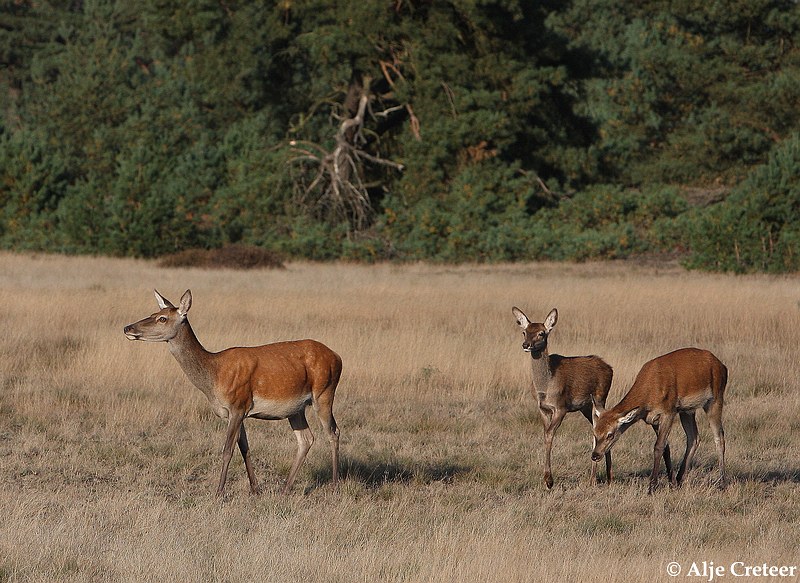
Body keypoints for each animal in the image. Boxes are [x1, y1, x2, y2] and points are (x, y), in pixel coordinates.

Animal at [123, 288, 342, 498]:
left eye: (162, 318)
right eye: (153, 313)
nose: (128, 328)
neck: (214, 377)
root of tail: (338, 357)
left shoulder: (238, 404)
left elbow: (227, 450)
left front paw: (218, 493)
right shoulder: (236, 412)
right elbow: (244, 448)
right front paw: (255, 489)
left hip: (324, 392)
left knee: (333, 432)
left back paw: (334, 486)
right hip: (295, 409)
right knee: (306, 439)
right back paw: (285, 489)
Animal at [512, 308, 612, 490]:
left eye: (541, 333)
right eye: (524, 332)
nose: (526, 345)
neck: (544, 387)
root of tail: (610, 368)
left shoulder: (561, 406)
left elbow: (550, 434)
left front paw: (549, 480)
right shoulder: (543, 408)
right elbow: (545, 434)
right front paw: (546, 481)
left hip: (600, 397)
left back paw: (595, 479)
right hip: (586, 406)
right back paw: (607, 477)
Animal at [592, 350, 728, 496]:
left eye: (610, 434)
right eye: (595, 432)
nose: (595, 455)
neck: (648, 397)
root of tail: (723, 367)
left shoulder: (669, 412)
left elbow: (658, 446)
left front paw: (651, 488)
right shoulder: (653, 420)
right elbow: (666, 448)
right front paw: (671, 483)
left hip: (715, 400)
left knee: (719, 437)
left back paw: (722, 484)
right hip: (687, 410)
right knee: (694, 438)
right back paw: (680, 479)